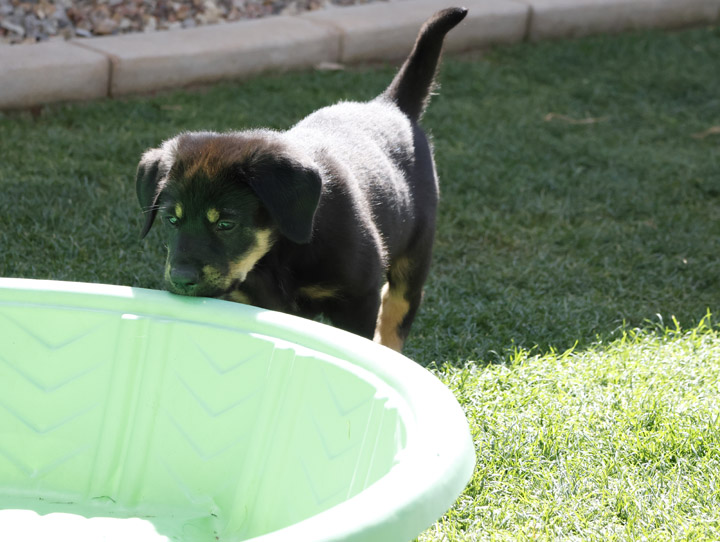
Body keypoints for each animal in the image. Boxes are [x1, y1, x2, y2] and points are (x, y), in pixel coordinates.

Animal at [138, 7, 470, 352]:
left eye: (226, 224)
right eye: (171, 220)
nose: (180, 279)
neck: (278, 252)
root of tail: (391, 105)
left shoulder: (357, 298)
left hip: (416, 252)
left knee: (397, 309)